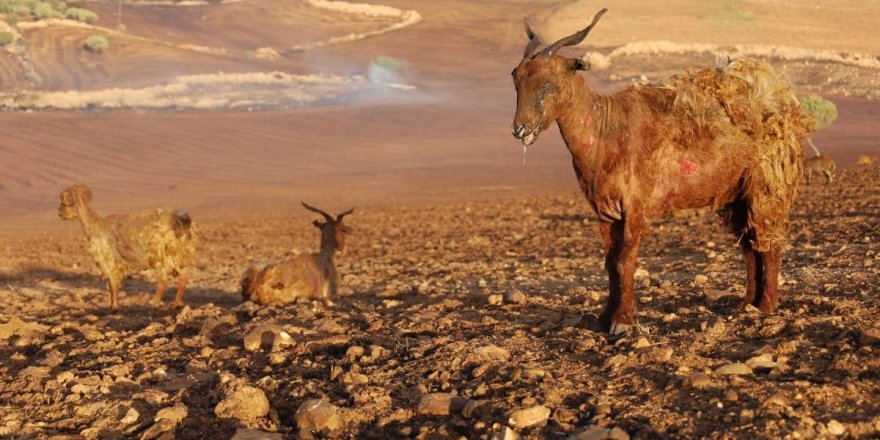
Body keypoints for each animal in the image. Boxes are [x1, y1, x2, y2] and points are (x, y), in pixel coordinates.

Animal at [60, 184, 199, 312]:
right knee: (183, 279)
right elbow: (112, 286)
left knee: (163, 281)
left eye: (63, 201)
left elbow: (113, 285)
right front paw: (111, 305)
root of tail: (180, 221)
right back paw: (176, 304)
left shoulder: (109, 261)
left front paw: (114, 307)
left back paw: (154, 304)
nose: (59, 214)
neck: (96, 225)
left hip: (159, 256)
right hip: (176, 255)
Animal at [512, 8, 816, 334]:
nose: (520, 129)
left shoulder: (636, 206)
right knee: (750, 246)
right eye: (515, 78)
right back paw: (748, 304)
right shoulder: (606, 211)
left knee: (769, 243)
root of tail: (783, 106)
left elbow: (624, 262)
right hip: (737, 194)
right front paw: (604, 319)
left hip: (767, 187)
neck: (605, 130)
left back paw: (767, 307)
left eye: (548, 84)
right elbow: (609, 264)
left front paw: (622, 322)